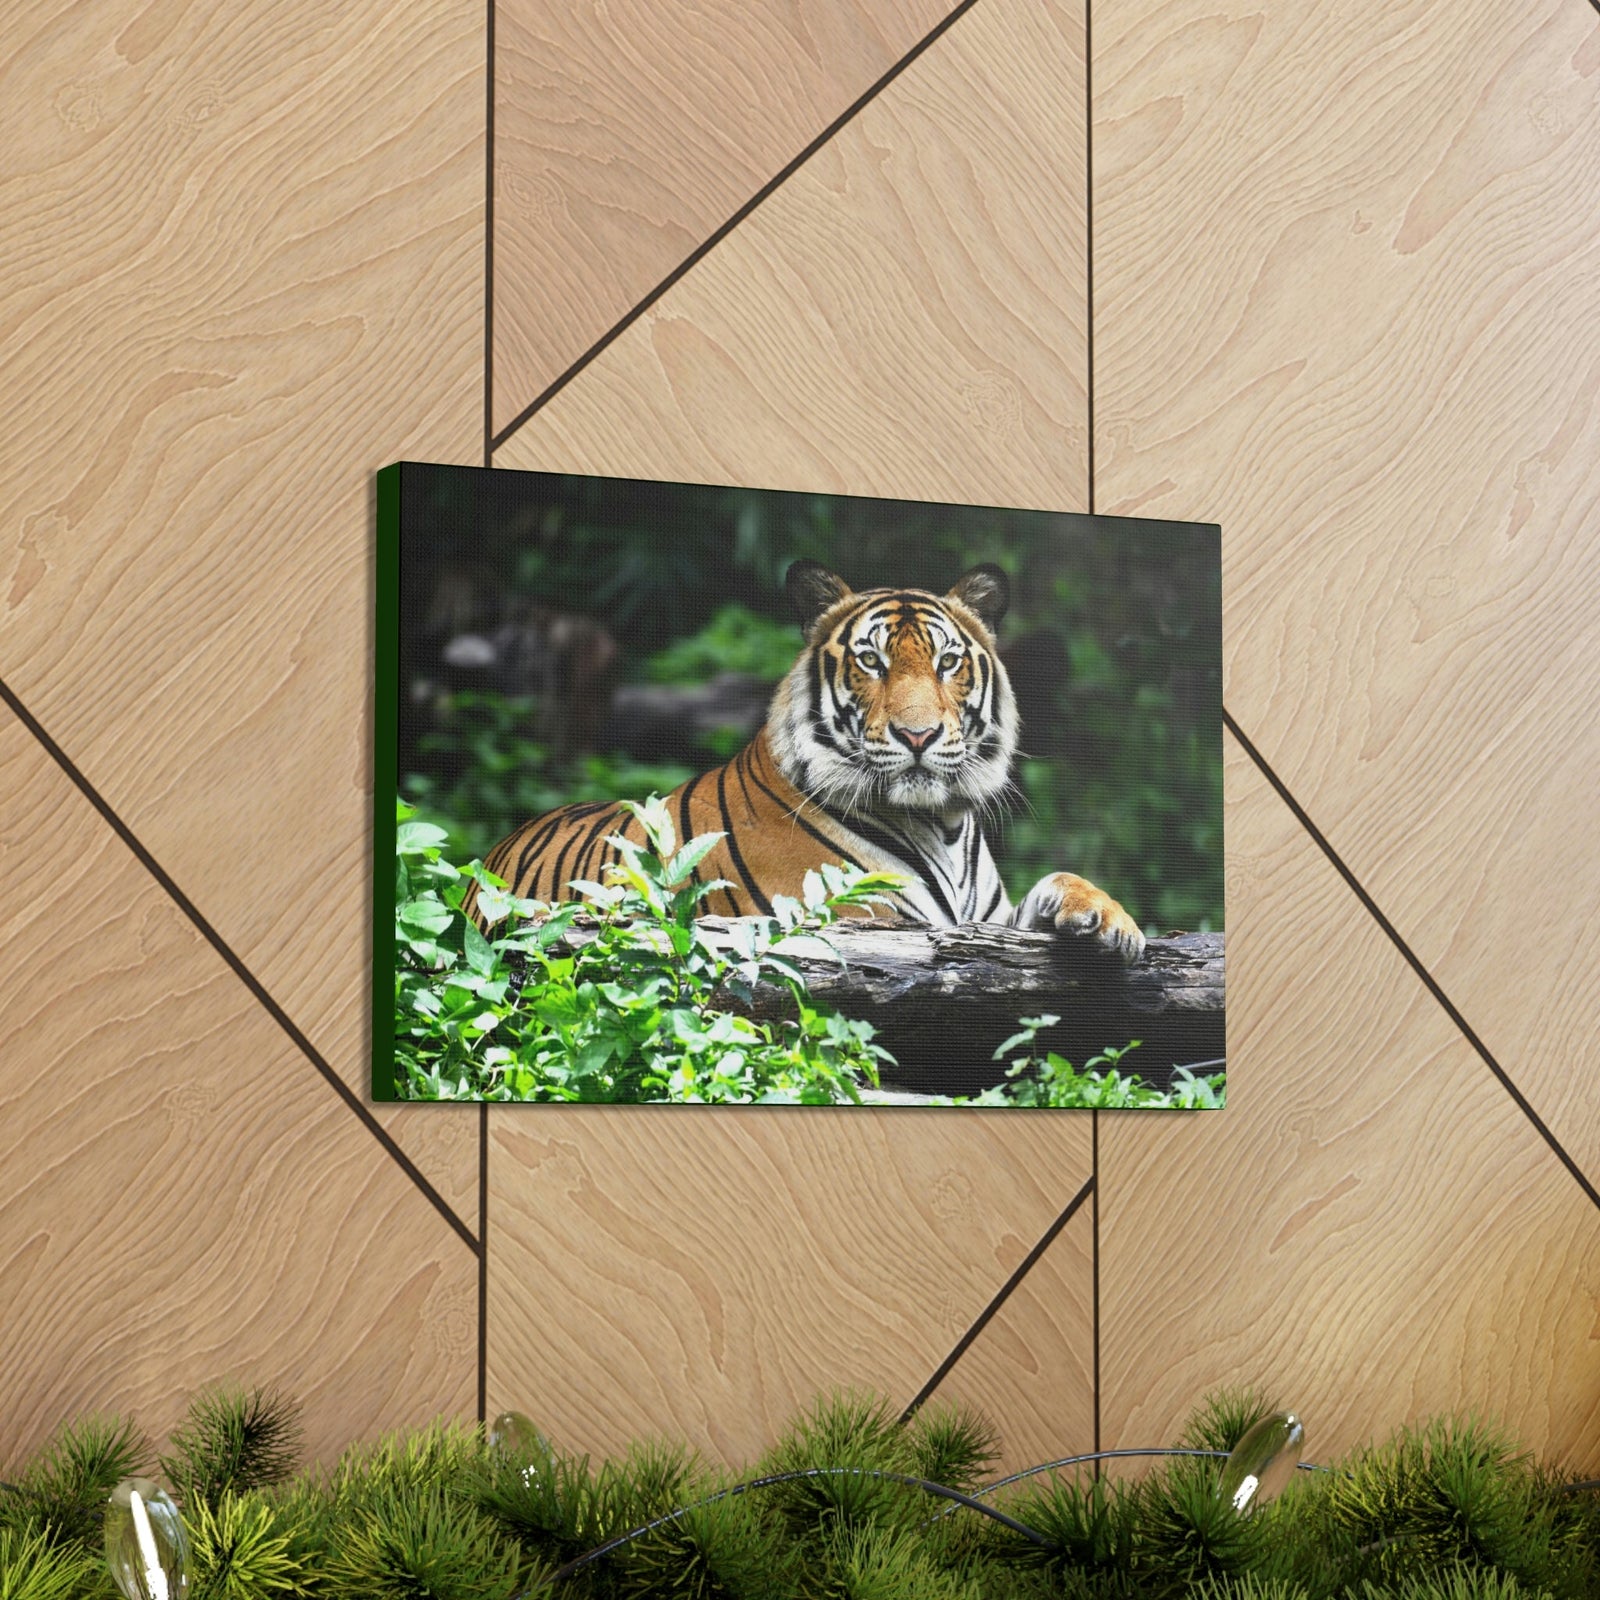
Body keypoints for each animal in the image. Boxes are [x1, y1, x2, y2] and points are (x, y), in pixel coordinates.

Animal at [474, 559, 1144, 963]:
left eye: (947, 662)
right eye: (872, 661)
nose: (919, 735)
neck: (944, 824)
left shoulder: (988, 923)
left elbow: (1058, 883)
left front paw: (1110, 921)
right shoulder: (867, 920)